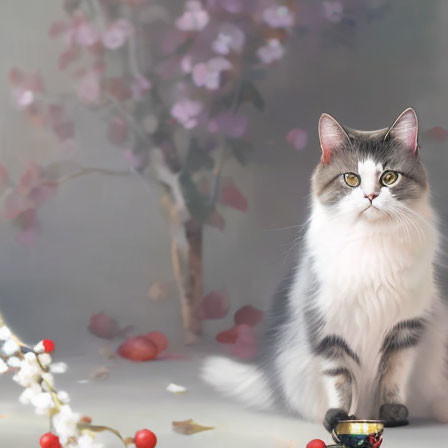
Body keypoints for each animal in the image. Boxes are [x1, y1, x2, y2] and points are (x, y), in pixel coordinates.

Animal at [202, 107, 448, 430]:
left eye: (389, 177)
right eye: (352, 179)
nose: (371, 196)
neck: (371, 244)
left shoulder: (405, 330)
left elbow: (393, 377)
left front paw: (392, 414)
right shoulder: (325, 327)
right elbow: (340, 380)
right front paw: (339, 418)